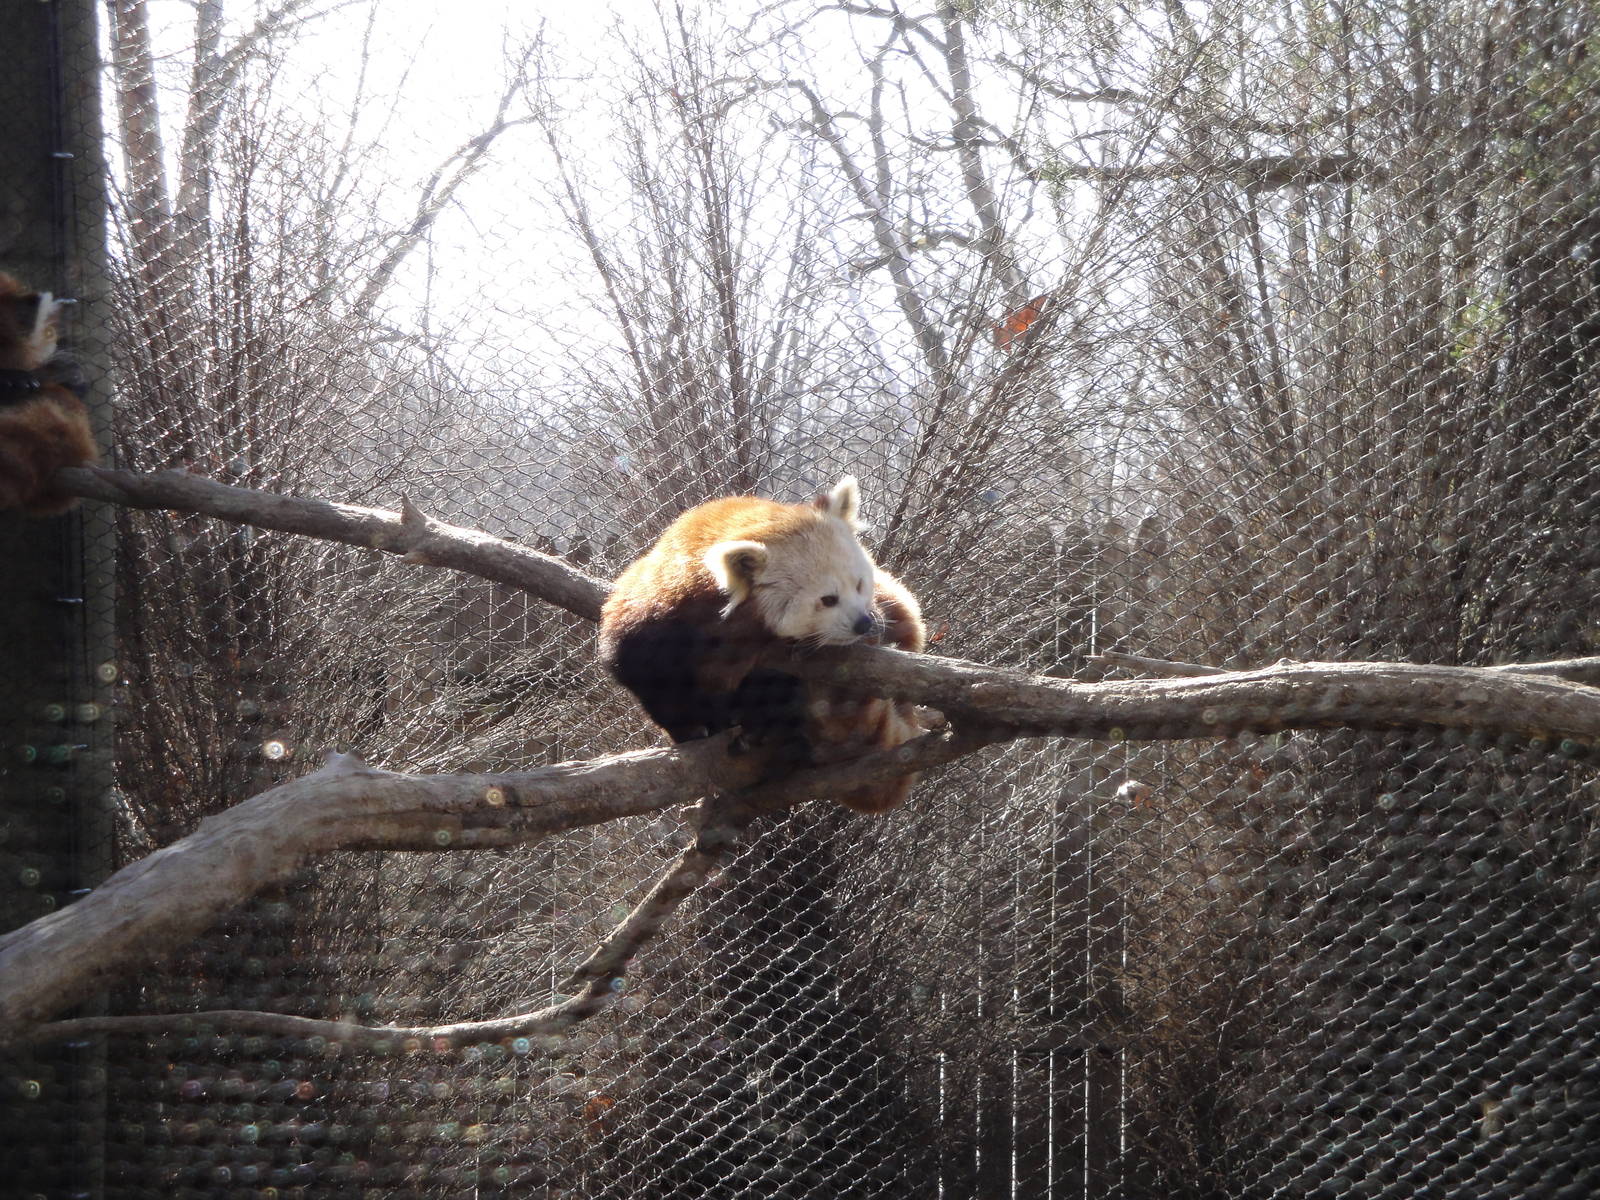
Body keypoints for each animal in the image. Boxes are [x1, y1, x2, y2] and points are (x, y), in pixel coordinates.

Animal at [598, 476, 926, 813]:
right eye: (828, 599)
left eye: (859, 585)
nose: (864, 623)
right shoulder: (650, 622)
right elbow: (643, 676)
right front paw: (690, 729)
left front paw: (757, 726)